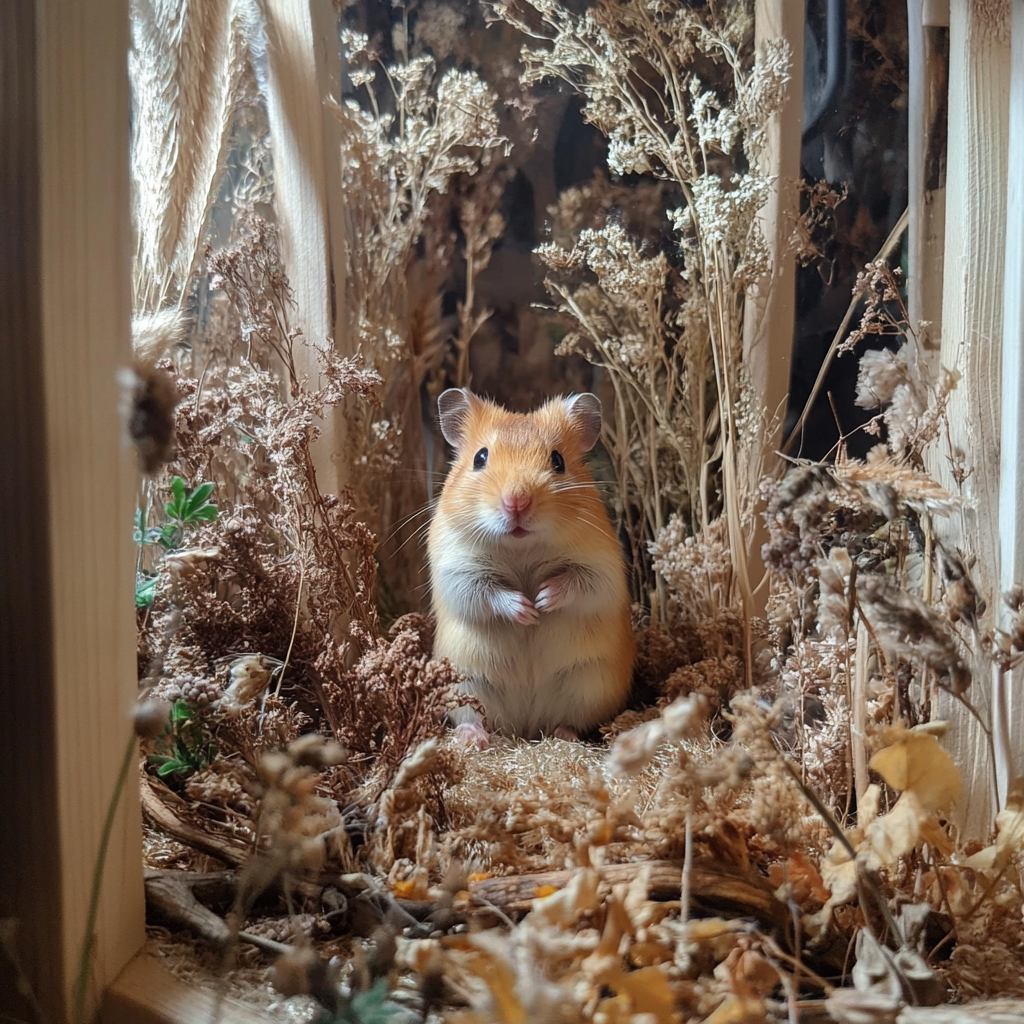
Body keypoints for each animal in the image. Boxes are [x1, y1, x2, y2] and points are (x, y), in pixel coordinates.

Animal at [423, 387, 630, 749]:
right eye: (480, 458)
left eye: (558, 460)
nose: (516, 502)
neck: (521, 548)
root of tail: (524, 727)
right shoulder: (456, 570)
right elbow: (487, 592)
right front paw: (527, 611)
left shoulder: (601, 568)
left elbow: (578, 584)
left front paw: (542, 602)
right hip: (465, 683)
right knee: (472, 716)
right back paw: (474, 738)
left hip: (590, 683)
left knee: (571, 721)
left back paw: (563, 735)